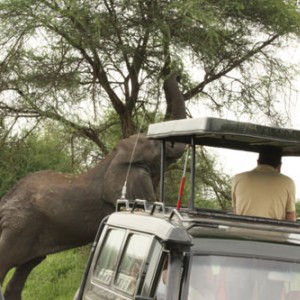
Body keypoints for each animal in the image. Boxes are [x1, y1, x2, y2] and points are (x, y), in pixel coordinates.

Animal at [0, 72, 186, 298]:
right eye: (156, 146)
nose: (176, 73)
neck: (113, 157)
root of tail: (4, 201)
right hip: (20, 225)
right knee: (5, 261)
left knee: (26, 266)